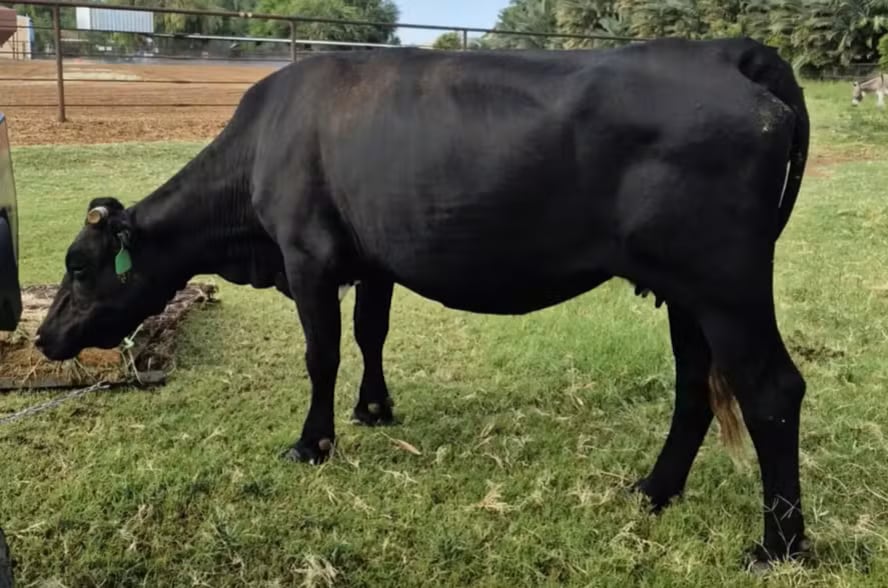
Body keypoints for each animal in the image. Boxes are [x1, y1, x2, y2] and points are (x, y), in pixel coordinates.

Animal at [34, 37, 810, 568]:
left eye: (79, 266)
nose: (43, 338)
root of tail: (727, 52)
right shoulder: (372, 261)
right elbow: (370, 333)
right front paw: (374, 409)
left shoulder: (308, 257)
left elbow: (322, 353)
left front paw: (312, 443)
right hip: (686, 292)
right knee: (695, 385)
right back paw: (654, 490)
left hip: (725, 284)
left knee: (772, 388)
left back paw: (779, 545)